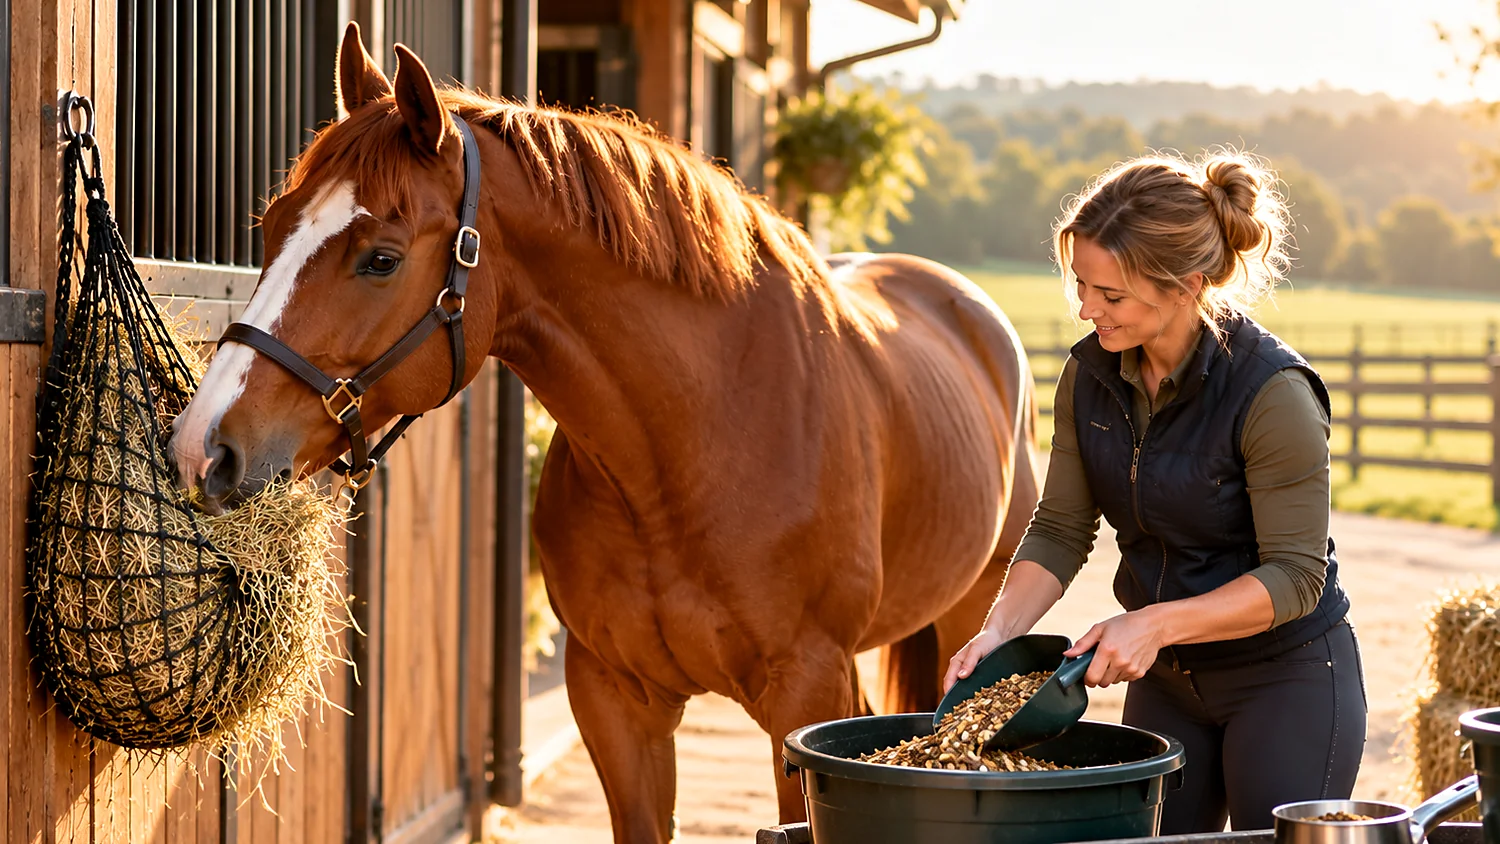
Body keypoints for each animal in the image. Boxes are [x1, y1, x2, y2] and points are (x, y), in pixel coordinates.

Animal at [169, 23, 1041, 843]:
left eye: (380, 259)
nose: (202, 446)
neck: (693, 446)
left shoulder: (805, 694)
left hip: (973, 613)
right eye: (273, 226)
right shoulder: (616, 700)